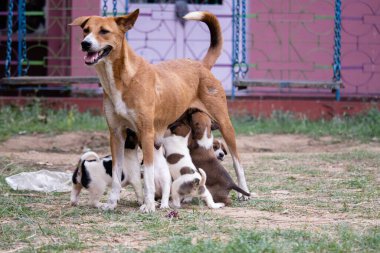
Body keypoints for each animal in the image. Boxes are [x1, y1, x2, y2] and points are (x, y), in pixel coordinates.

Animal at [69, 9, 249, 211]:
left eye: (104, 31)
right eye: (85, 30)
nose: (85, 43)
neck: (122, 79)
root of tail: (200, 65)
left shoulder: (146, 133)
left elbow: (148, 175)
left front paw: (148, 205)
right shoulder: (116, 134)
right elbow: (116, 174)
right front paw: (112, 202)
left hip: (225, 125)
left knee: (238, 163)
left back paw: (243, 192)